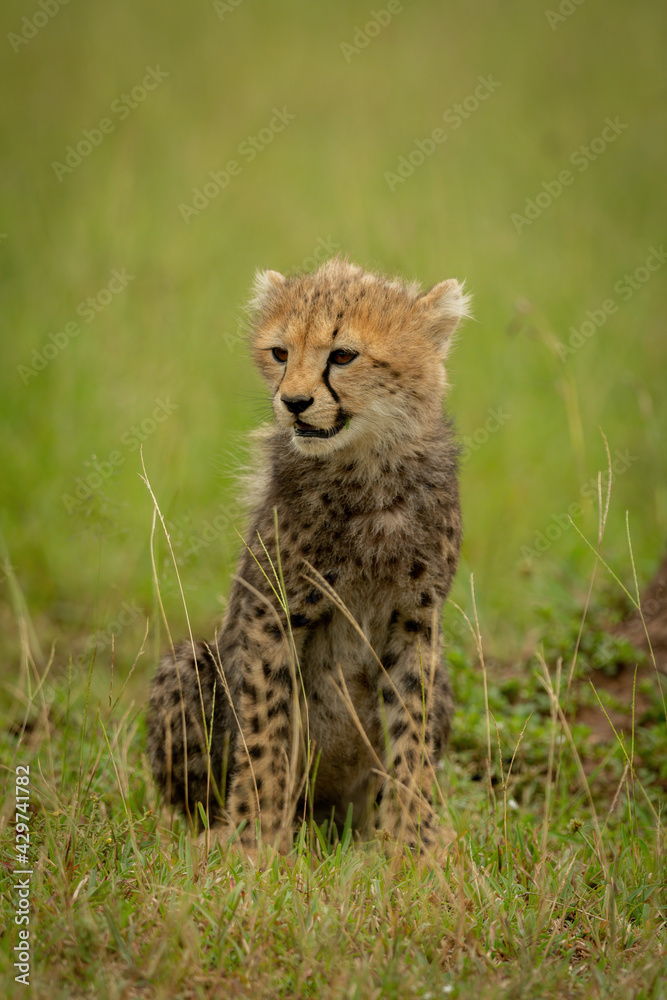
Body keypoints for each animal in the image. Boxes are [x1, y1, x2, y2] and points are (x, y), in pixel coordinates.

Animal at [147, 255, 470, 858]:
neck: (367, 467)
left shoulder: (417, 621)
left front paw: (413, 846)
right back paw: (221, 834)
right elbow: (265, 729)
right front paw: (255, 842)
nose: (293, 403)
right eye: (280, 353)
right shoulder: (273, 611)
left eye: (342, 355)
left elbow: (411, 734)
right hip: (190, 664)